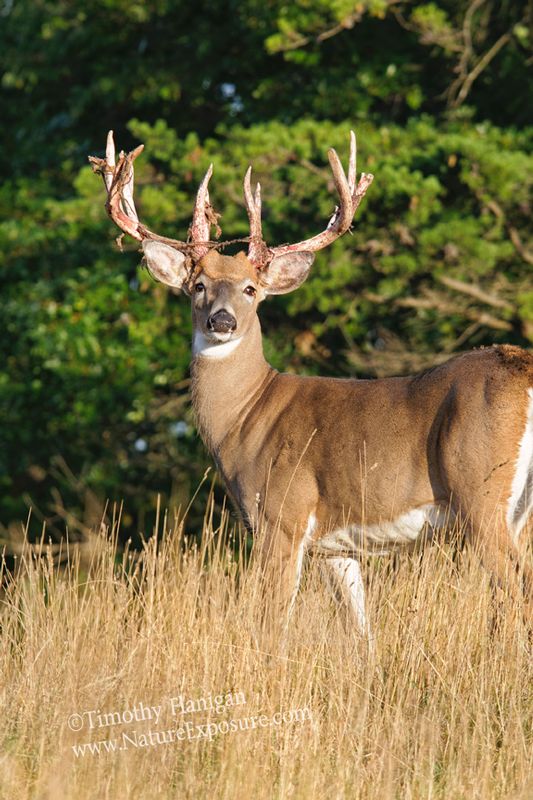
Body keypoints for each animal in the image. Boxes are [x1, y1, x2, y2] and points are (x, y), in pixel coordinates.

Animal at [89, 130, 533, 641]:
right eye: (198, 285)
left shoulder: (281, 513)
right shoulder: (336, 547)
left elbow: (271, 622)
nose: (222, 321)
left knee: (517, 587)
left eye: (250, 289)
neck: (245, 417)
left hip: (480, 492)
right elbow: (360, 634)